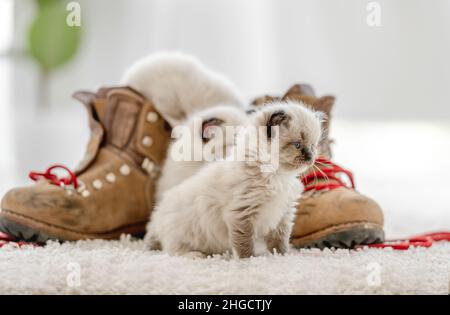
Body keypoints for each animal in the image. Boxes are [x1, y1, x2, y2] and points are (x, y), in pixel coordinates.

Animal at [145, 101, 324, 260]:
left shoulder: (283, 215)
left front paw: (283, 256)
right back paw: (196, 255)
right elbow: (244, 244)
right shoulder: (241, 214)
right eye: (297, 145)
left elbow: (279, 243)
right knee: (172, 251)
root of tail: (158, 213)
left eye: (313, 146)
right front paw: (248, 261)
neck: (277, 176)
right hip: (184, 234)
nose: (311, 158)